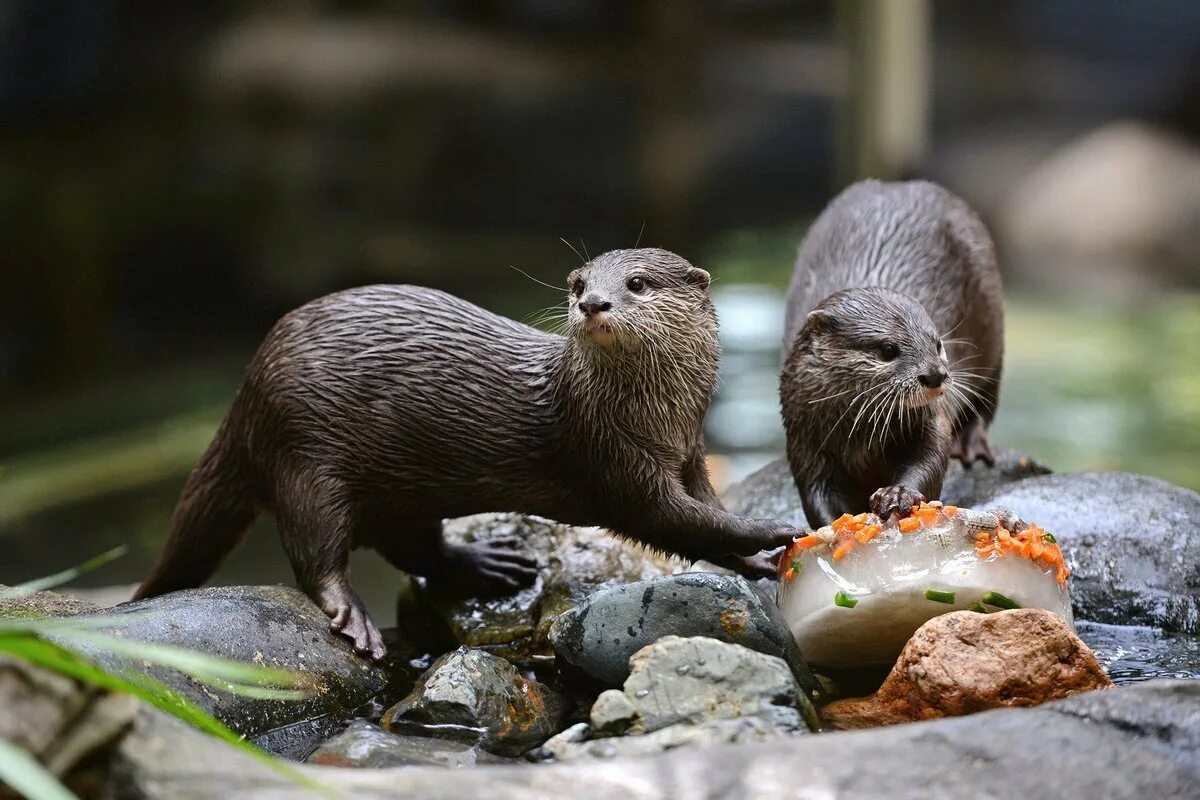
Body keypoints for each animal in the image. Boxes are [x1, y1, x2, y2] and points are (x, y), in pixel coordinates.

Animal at [136, 247, 801, 662]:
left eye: (637, 283)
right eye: (579, 285)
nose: (594, 304)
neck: (656, 420)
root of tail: (247, 389)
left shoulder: (689, 454)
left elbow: (703, 516)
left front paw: (755, 559)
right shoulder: (614, 463)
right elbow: (671, 520)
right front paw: (769, 530)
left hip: (402, 489)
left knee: (411, 546)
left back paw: (487, 562)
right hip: (304, 455)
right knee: (314, 552)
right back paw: (353, 614)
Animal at [777, 179, 1003, 525]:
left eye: (937, 343)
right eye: (887, 349)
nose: (935, 375)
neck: (860, 440)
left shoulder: (932, 419)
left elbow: (929, 459)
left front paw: (897, 494)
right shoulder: (802, 435)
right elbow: (815, 493)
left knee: (987, 397)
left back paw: (970, 443)